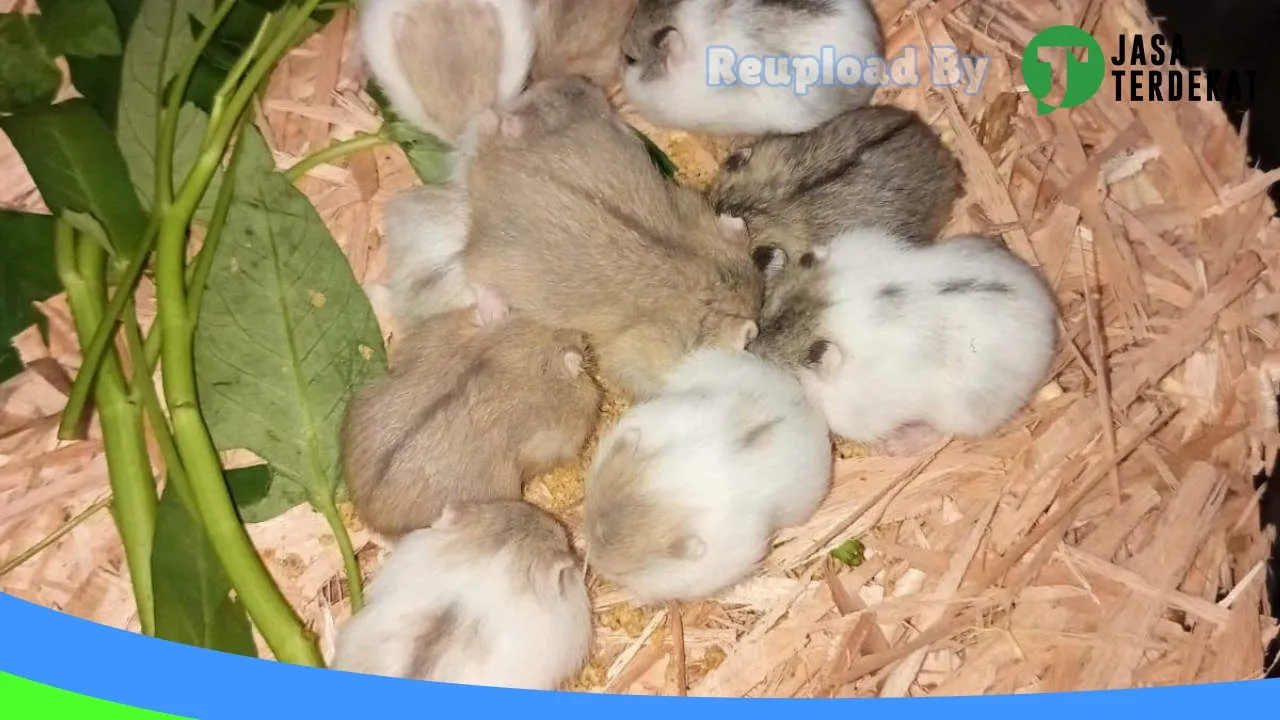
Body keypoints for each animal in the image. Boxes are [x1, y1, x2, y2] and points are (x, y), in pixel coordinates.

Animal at [750, 228, 1059, 456]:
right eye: (768, 313)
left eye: (787, 365)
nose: (753, 349)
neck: (829, 309)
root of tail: (1048, 317)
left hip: (962, 411)